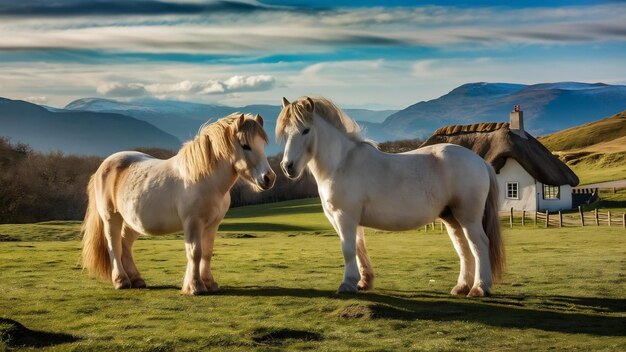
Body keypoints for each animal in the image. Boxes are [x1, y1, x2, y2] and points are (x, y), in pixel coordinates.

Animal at [80, 114, 272, 296]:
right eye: (245, 145)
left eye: (263, 144)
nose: (269, 178)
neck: (205, 179)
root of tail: (103, 167)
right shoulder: (193, 223)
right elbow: (195, 252)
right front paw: (195, 287)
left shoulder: (212, 225)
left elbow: (207, 252)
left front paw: (209, 283)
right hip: (111, 218)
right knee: (114, 245)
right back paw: (121, 281)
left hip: (132, 222)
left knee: (125, 245)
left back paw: (136, 279)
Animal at [276, 96, 504, 296]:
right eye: (285, 133)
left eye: (306, 130)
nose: (287, 167)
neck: (341, 164)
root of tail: (480, 161)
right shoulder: (346, 220)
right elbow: (359, 248)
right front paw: (364, 282)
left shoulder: (344, 217)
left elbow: (348, 249)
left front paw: (347, 284)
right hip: (451, 217)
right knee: (464, 249)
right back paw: (462, 287)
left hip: (468, 217)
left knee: (479, 245)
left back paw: (479, 288)